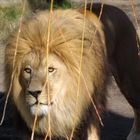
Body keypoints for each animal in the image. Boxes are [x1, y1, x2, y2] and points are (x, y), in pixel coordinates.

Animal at [4, 2, 140, 140]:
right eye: (27, 70)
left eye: (51, 69)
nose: (34, 93)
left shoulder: (89, 115)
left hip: (128, 81)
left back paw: (134, 134)